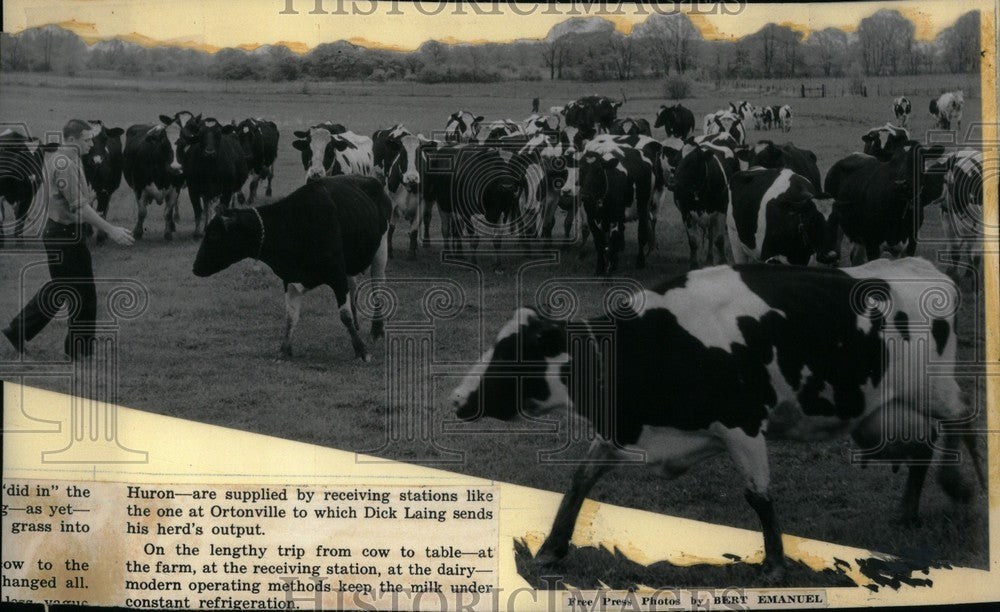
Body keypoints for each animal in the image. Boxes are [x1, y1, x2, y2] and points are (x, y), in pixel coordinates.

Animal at [191, 175, 390, 360]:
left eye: (214, 235)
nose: (195, 268)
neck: (293, 223)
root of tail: (371, 179)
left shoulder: (336, 274)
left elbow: (344, 314)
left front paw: (361, 350)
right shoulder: (291, 278)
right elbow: (290, 316)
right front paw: (284, 350)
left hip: (381, 250)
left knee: (377, 287)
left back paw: (377, 331)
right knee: (354, 286)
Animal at [454, 260, 984, 580]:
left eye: (514, 354)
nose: (458, 399)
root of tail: (923, 269)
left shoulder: (742, 425)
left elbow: (758, 495)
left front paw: (774, 565)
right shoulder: (623, 431)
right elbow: (580, 481)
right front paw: (552, 548)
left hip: (933, 390)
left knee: (964, 421)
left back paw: (967, 495)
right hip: (885, 412)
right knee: (922, 448)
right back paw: (908, 512)